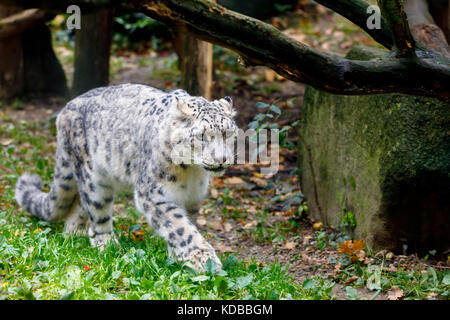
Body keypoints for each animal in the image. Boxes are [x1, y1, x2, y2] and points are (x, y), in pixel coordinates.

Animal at [14, 82, 239, 270]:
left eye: (228, 133)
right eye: (201, 136)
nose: (222, 159)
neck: (191, 174)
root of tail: (65, 110)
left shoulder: (192, 198)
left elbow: (184, 224)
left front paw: (177, 258)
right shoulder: (153, 195)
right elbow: (179, 226)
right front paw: (204, 259)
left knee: (78, 207)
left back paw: (74, 234)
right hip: (94, 179)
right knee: (96, 210)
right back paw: (106, 244)